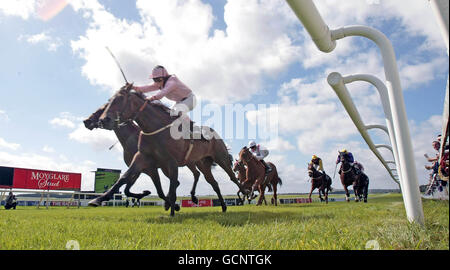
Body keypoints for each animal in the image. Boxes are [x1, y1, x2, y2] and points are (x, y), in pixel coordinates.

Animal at [91, 85, 246, 216]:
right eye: (109, 102)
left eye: (119, 99)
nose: (102, 120)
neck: (155, 129)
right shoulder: (143, 158)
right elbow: (124, 179)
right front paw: (98, 199)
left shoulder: (168, 162)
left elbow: (170, 187)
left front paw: (172, 210)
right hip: (202, 163)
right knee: (212, 182)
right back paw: (222, 206)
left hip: (221, 158)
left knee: (232, 177)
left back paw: (245, 192)